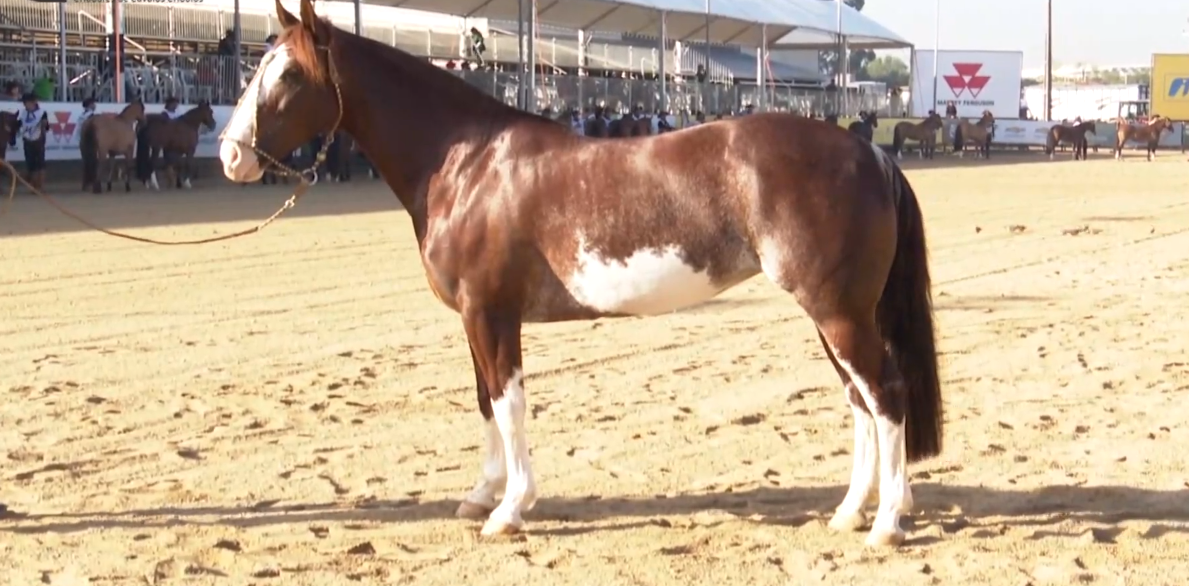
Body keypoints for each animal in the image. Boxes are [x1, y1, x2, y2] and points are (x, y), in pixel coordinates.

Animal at [221, 0, 946, 549]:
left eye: (287, 73)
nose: (231, 155)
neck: (467, 163)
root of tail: (869, 153)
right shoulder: (476, 319)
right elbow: (484, 402)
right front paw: (479, 496)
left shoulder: (492, 314)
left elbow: (508, 404)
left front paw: (509, 511)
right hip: (835, 315)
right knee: (860, 399)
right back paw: (849, 512)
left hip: (838, 313)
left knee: (884, 394)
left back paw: (884, 524)